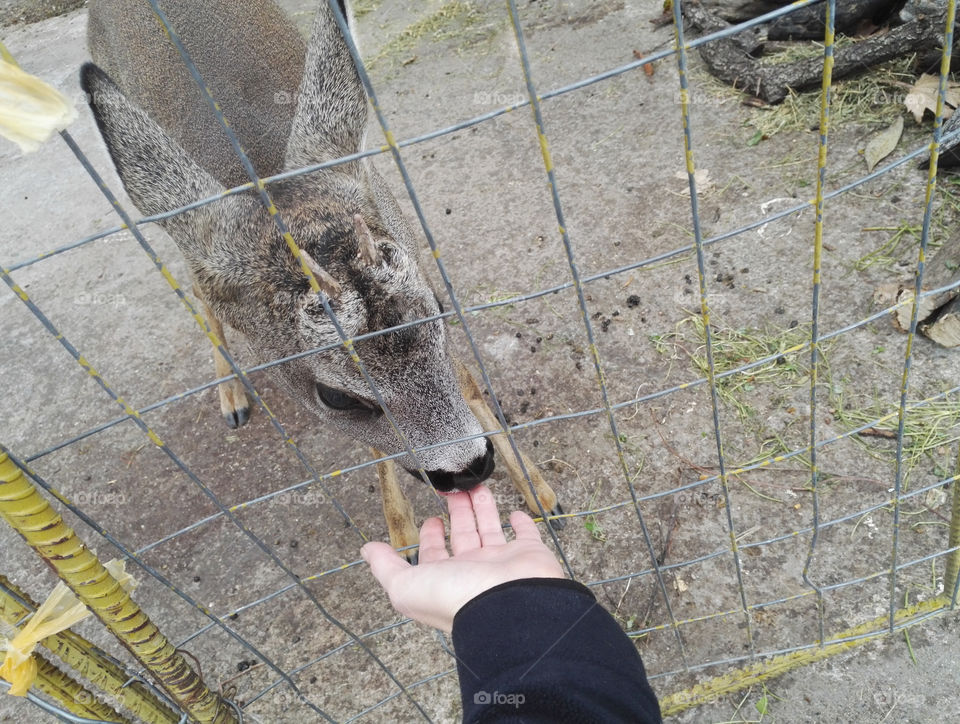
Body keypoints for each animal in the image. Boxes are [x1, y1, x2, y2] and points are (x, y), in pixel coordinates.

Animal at [82, 0, 564, 560]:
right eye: (335, 397)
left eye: (442, 309)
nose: (469, 468)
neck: (260, 168)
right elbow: (375, 448)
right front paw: (403, 536)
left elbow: (466, 377)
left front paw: (538, 490)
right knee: (198, 292)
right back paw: (231, 396)